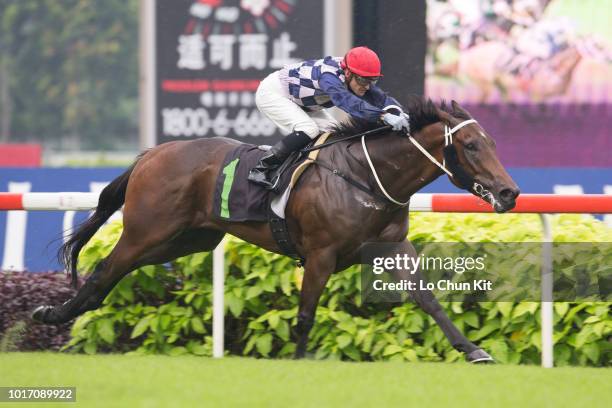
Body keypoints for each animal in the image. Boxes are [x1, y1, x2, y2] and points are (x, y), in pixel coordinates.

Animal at [33, 96, 520, 364]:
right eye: (471, 145)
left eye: (494, 143)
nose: (510, 192)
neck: (365, 175)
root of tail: (153, 153)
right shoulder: (321, 254)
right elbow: (305, 315)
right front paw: (300, 362)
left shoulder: (392, 246)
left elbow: (428, 300)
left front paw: (474, 350)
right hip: (147, 231)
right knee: (105, 268)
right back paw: (53, 314)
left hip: (186, 239)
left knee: (112, 273)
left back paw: (58, 314)